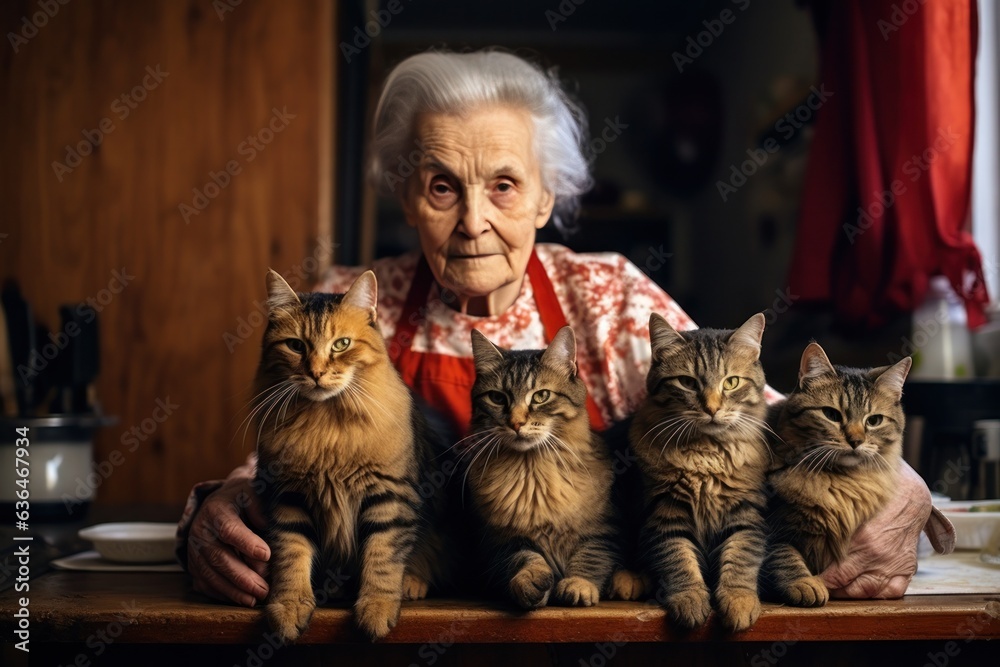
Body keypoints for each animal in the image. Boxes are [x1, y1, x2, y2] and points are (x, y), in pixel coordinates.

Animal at [254, 270, 446, 640]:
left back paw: (411, 583)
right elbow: (291, 557)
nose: (316, 373)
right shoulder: (288, 498)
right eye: (296, 346)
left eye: (341, 344)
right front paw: (289, 606)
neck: (326, 425)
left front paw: (377, 609)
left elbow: (381, 559)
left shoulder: (389, 496)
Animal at [628, 314, 768, 632]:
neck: (707, 456)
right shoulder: (666, 512)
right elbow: (678, 560)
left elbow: (740, 558)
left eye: (731, 383)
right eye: (687, 382)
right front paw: (690, 600)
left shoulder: (745, 512)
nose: (712, 409)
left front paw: (739, 601)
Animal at [760, 348, 912, 608]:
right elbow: (783, 555)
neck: (838, 480)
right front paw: (804, 583)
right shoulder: (773, 524)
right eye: (831, 414)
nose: (856, 441)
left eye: (874, 421)